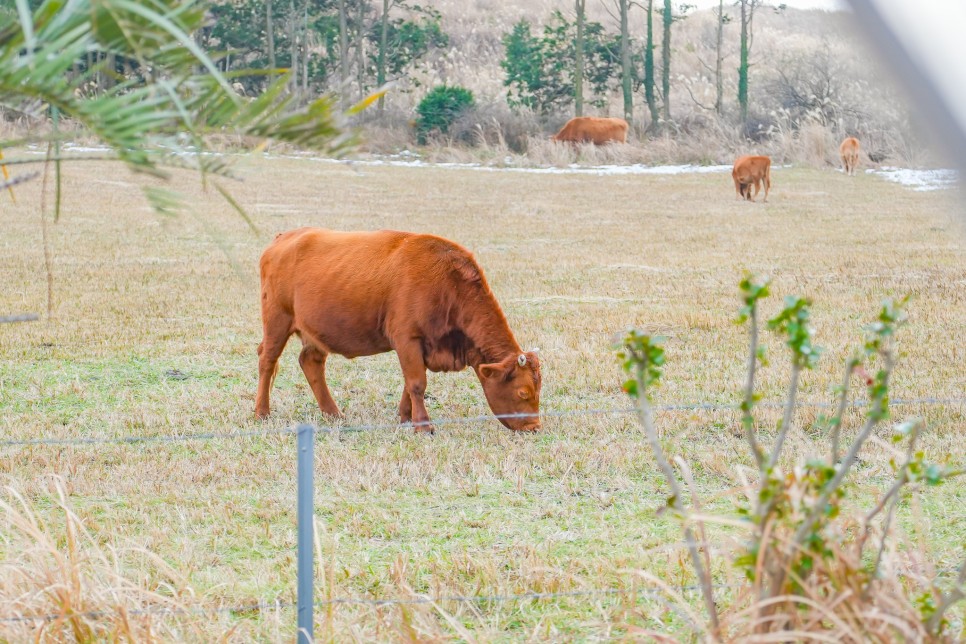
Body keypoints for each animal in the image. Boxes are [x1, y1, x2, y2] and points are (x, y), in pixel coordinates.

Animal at [255, 226, 544, 432]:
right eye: (523, 392)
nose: (534, 427)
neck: (446, 283)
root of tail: (284, 238)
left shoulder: (422, 347)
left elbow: (409, 383)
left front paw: (406, 417)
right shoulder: (407, 339)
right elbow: (417, 383)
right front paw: (423, 426)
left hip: (315, 331)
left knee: (310, 362)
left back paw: (333, 413)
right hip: (277, 320)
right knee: (267, 360)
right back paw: (261, 412)